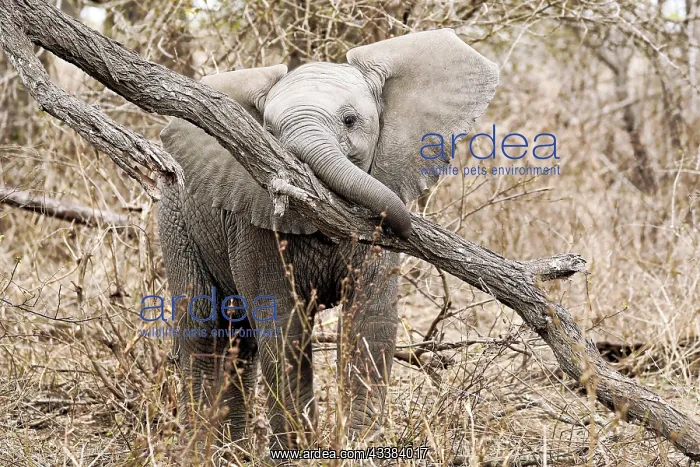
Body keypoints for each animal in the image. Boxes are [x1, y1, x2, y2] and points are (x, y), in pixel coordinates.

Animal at [157, 28, 498, 454]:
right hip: (176, 222)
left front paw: (361, 448)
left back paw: (233, 452)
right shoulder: (254, 226)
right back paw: (208, 452)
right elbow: (283, 330)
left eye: (350, 121)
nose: (406, 230)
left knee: (240, 342)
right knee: (204, 332)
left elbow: (370, 322)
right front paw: (299, 454)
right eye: (268, 134)